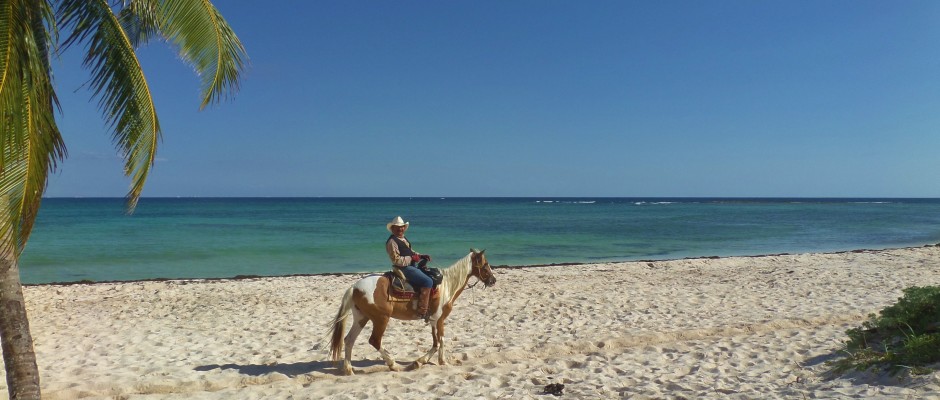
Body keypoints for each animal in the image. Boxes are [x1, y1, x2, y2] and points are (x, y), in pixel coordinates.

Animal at [326, 247, 496, 376]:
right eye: (485, 264)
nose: (493, 280)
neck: (447, 285)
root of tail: (354, 287)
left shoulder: (433, 320)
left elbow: (436, 342)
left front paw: (421, 361)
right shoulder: (440, 319)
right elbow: (440, 340)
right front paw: (440, 361)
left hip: (361, 318)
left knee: (349, 340)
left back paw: (349, 369)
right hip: (381, 319)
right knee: (374, 340)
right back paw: (394, 365)